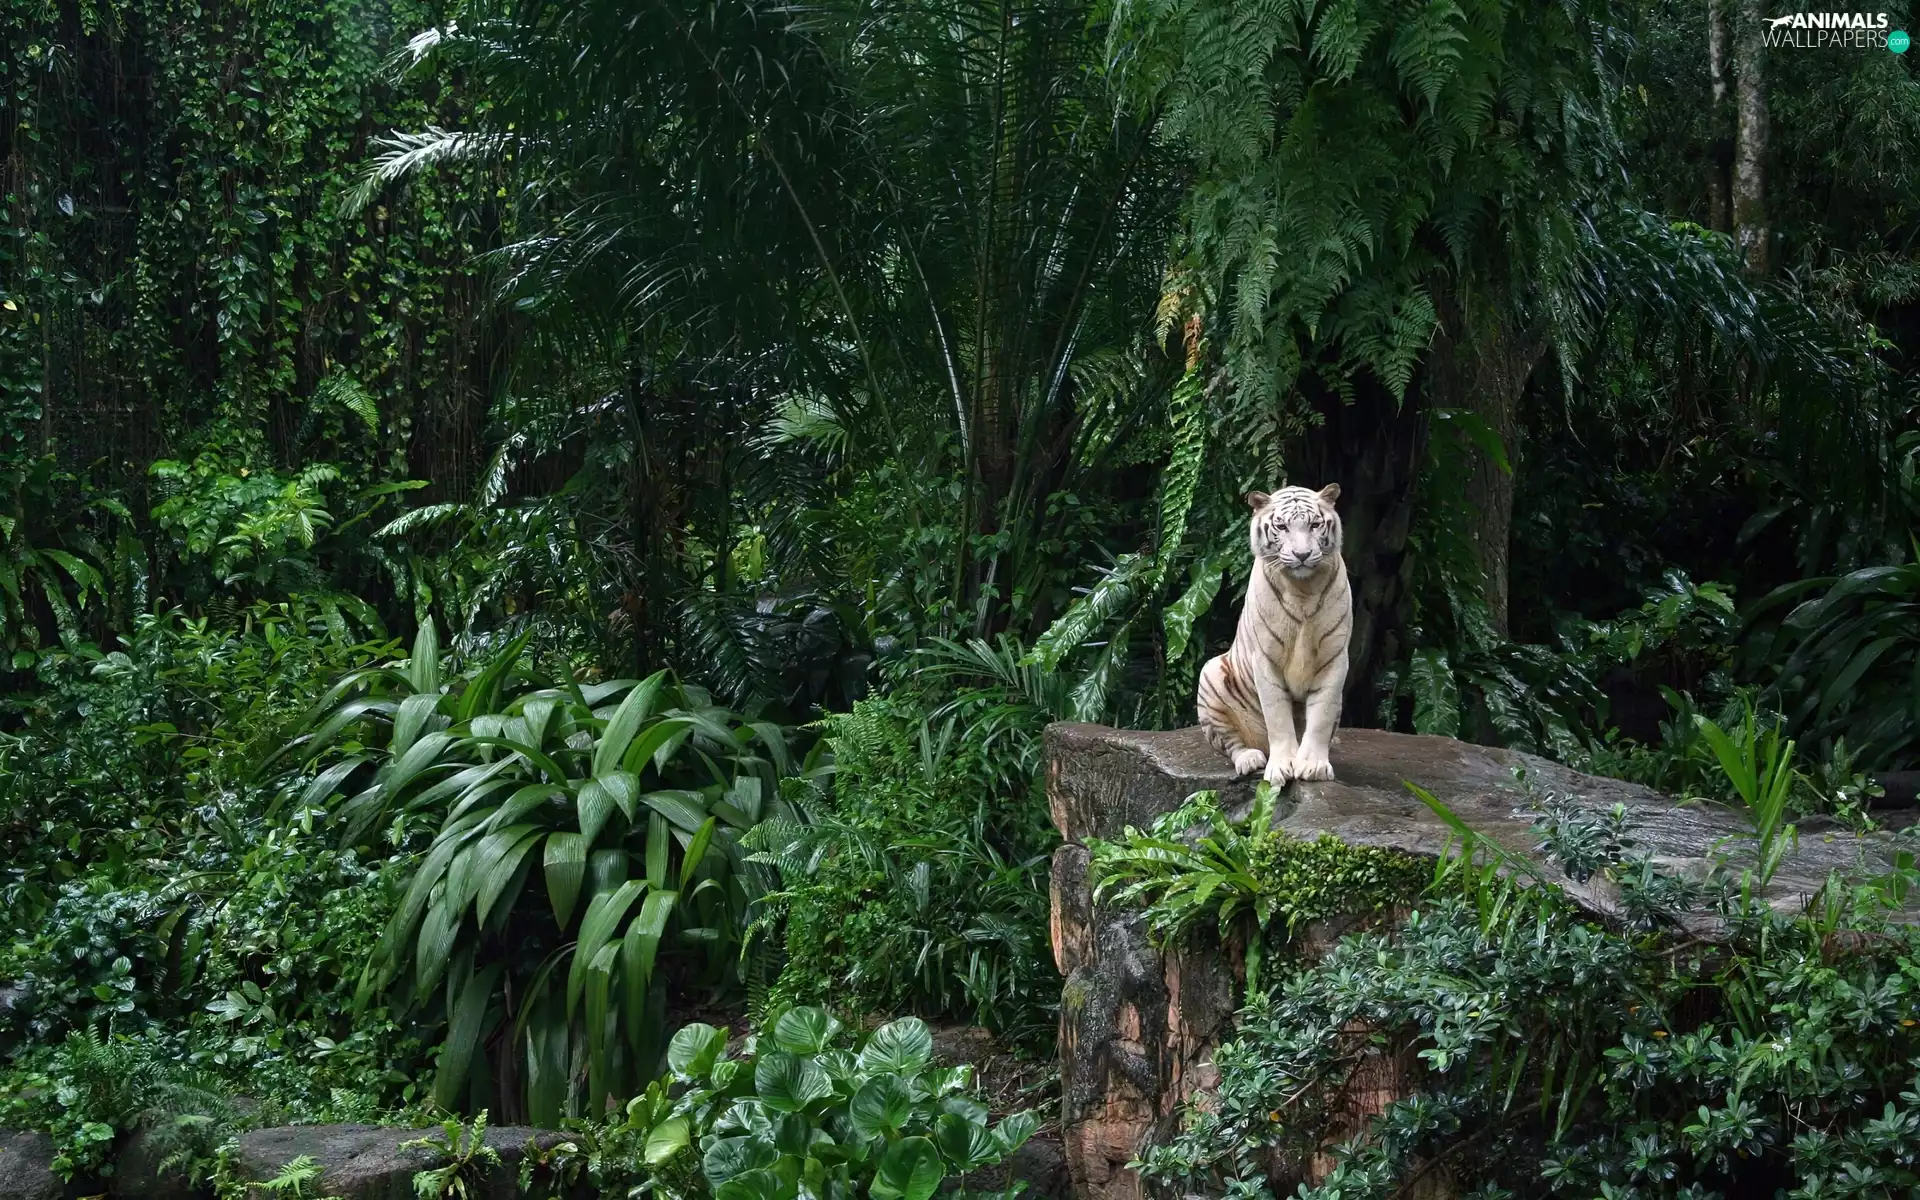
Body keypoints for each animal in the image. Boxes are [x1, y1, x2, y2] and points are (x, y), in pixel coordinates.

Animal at [1196, 483, 1351, 785]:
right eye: (1281, 526)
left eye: (1315, 525)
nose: (1302, 555)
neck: (1303, 589)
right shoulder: (1265, 659)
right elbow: (1277, 716)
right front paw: (1282, 766)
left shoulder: (1334, 658)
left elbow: (1322, 715)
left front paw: (1313, 765)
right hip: (1210, 675)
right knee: (1231, 743)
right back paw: (1250, 758)